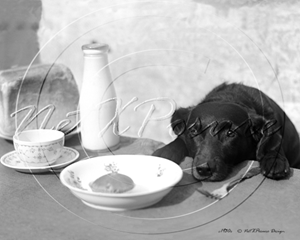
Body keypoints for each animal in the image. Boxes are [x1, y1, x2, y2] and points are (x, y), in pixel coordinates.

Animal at [152, 82, 300, 180]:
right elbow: (179, 140)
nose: (204, 170)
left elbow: (272, 143)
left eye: (230, 133)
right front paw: (166, 151)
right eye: (193, 131)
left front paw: (274, 160)